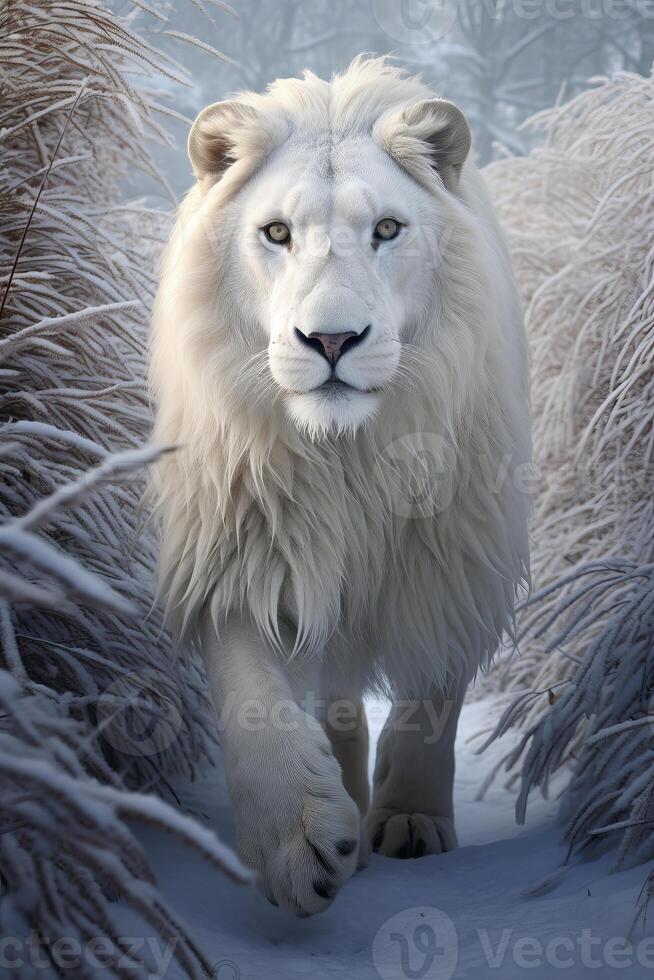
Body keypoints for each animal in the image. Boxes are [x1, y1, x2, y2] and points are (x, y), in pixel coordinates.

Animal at [150, 57, 532, 920]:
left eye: (387, 229)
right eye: (276, 233)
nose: (330, 340)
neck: (349, 456)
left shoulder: (455, 553)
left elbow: (431, 699)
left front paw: (413, 819)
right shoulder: (243, 546)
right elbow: (254, 695)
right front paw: (298, 841)